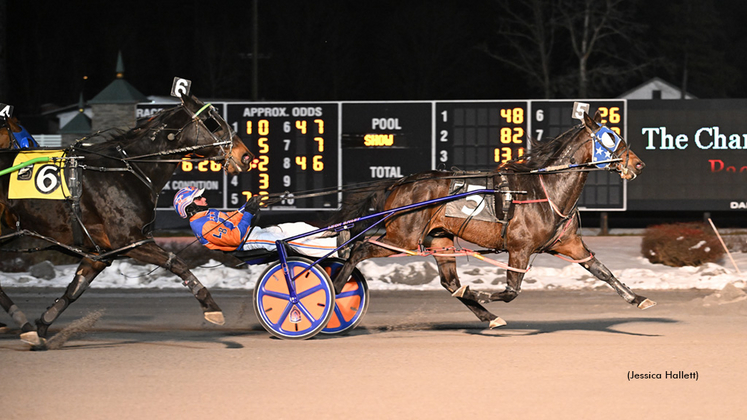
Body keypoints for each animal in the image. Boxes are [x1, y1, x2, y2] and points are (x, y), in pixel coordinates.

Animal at [0, 94, 254, 348]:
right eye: (212, 122)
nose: (246, 156)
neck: (126, 170)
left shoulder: (101, 252)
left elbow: (74, 290)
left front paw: (42, 326)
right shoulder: (131, 241)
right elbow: (177, 263)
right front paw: (211, 307)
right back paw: (23, 325)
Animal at [334, 110, 656, 328]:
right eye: (609, 138)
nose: (639, 164)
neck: (547, 190)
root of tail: (400, 182)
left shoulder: (570, 244)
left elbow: (602, 271)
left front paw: (638, 299)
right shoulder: (519, 248)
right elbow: (511, 291)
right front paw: (481, 292)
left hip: (439, 239)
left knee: (449, 282)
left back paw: (488, 316)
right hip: (403, 237)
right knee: (359, 248)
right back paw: (335, 288)